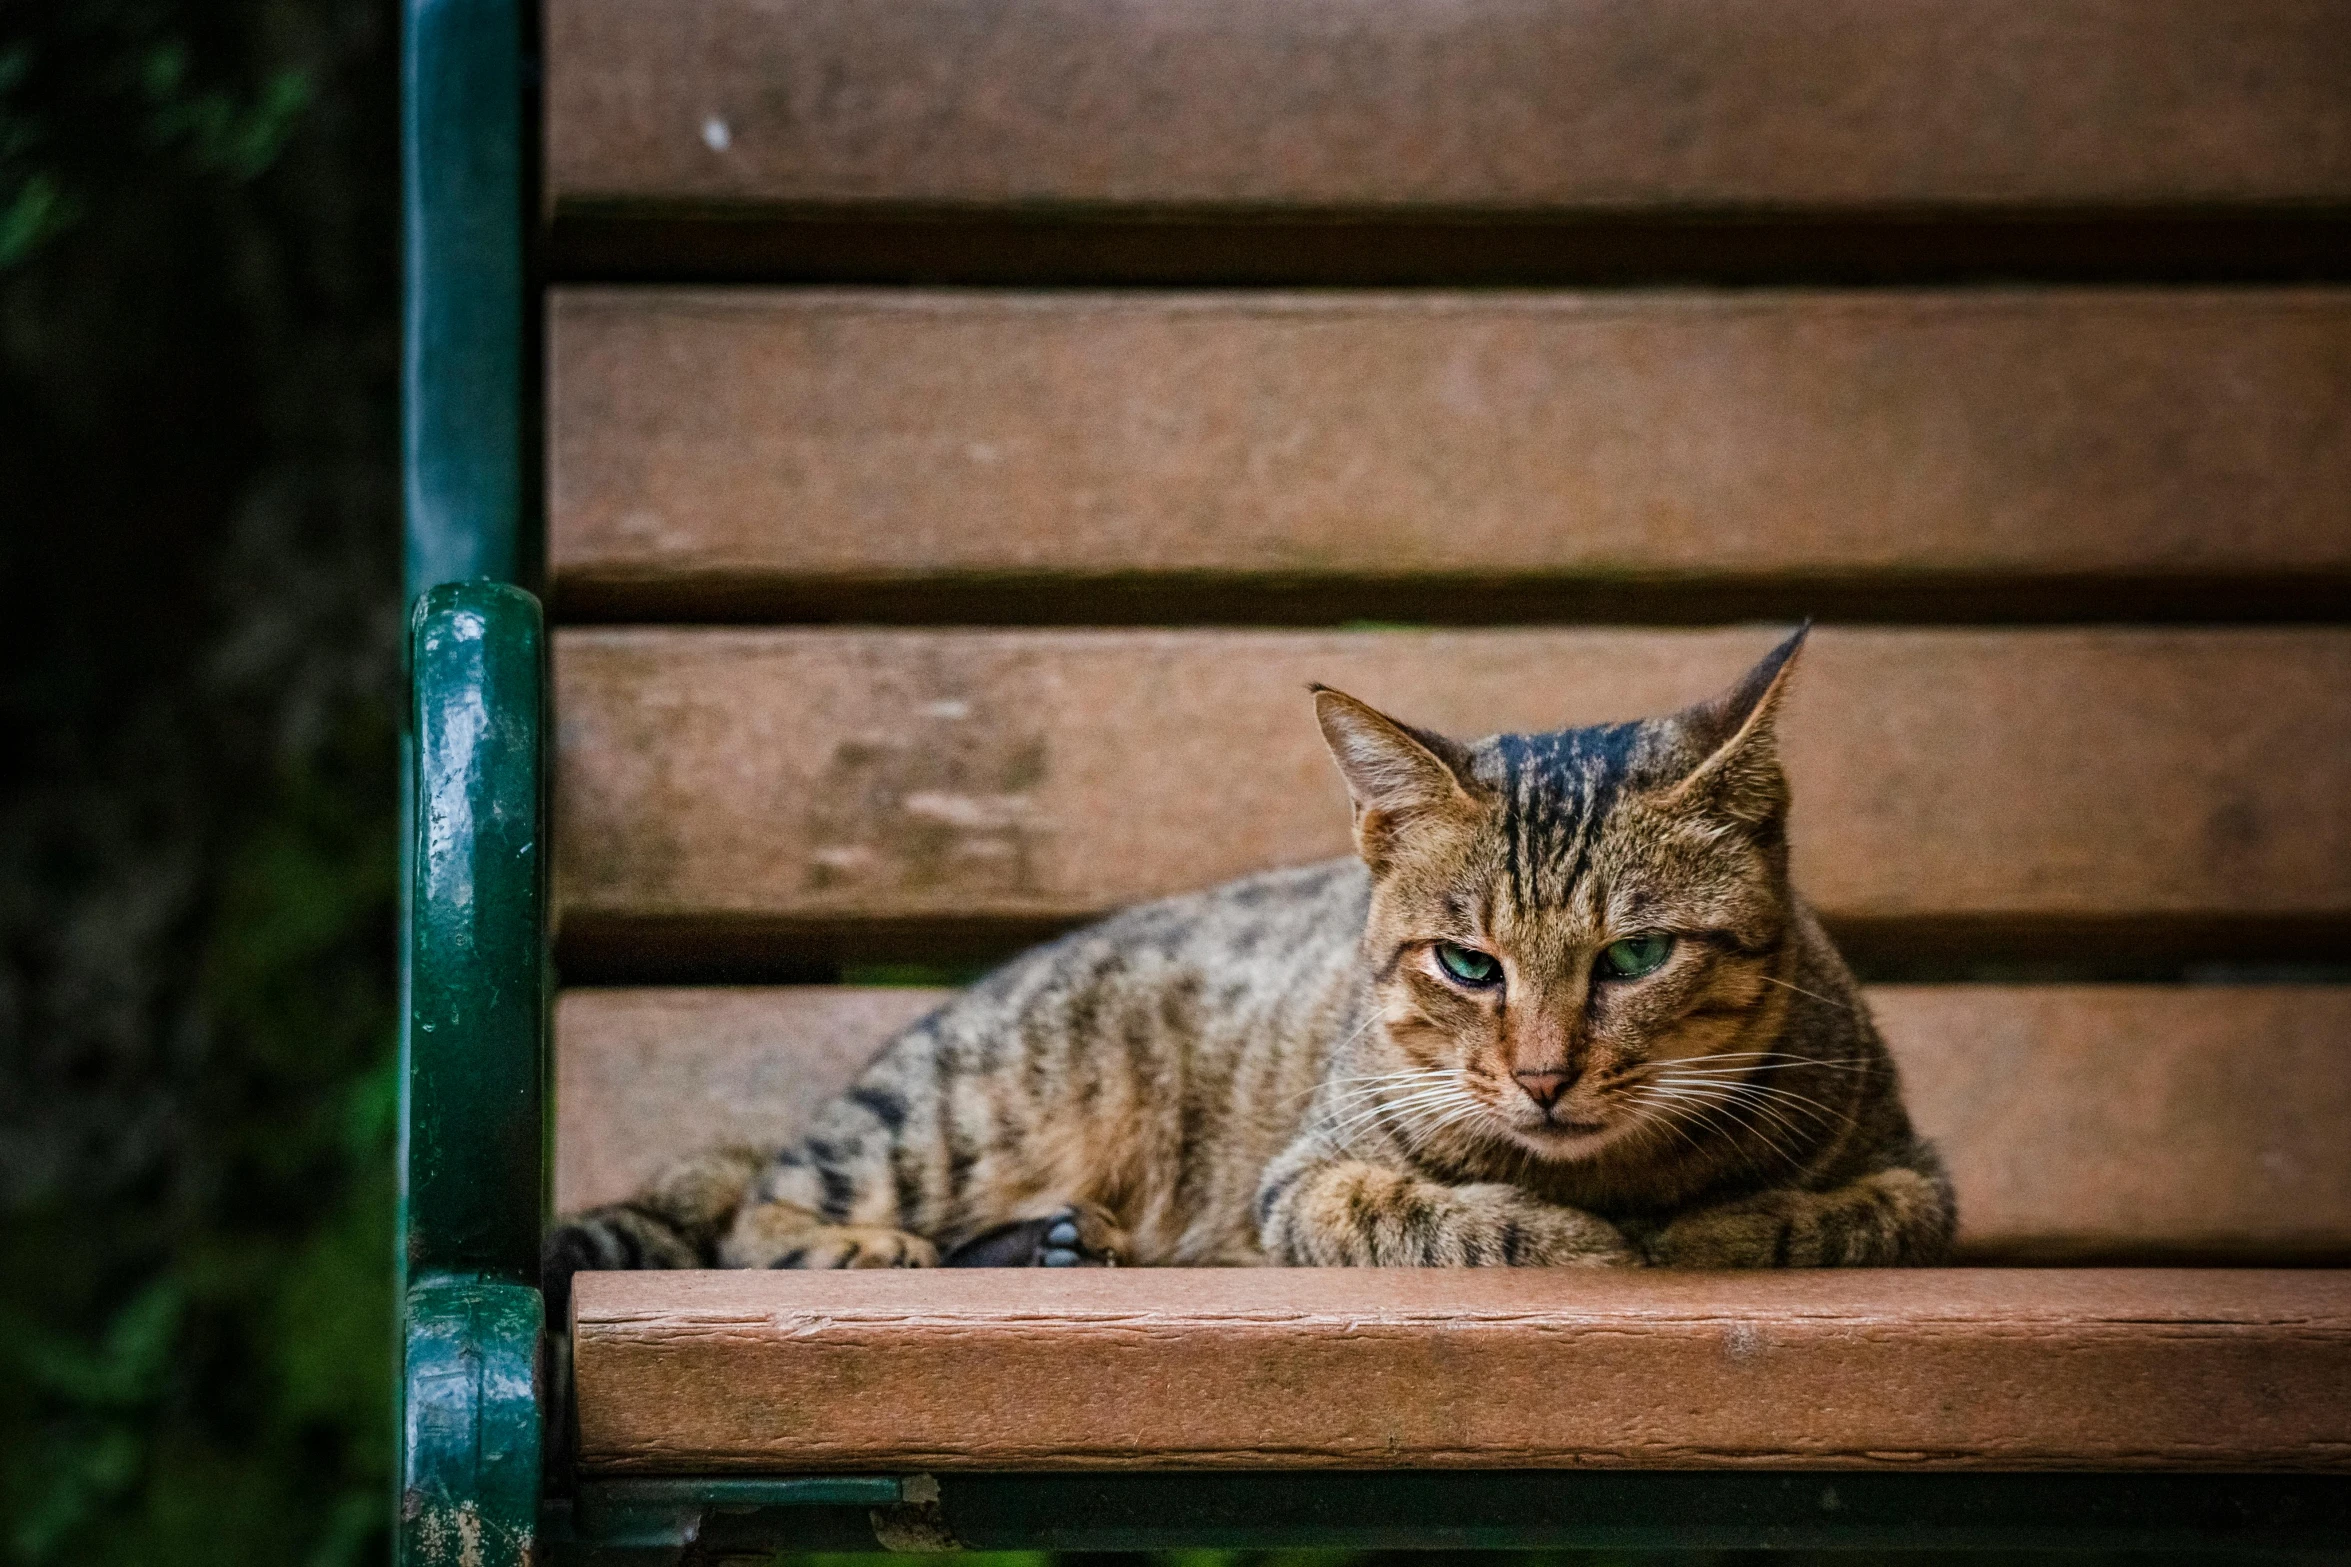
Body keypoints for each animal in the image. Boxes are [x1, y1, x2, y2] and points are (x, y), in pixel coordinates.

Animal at [545, 620, 1946, 1315]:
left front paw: (1714, 1223)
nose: (1544, 1078)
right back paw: (896, 1250)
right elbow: (1437, 1214)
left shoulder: (1921, 1178)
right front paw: (1581, 1237)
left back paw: (1057, 1245)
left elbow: (1837, 1210)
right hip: (960, 1110)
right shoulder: (1304, 1180)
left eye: (1636, 955)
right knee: (753, 1207)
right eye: (1466, 963)